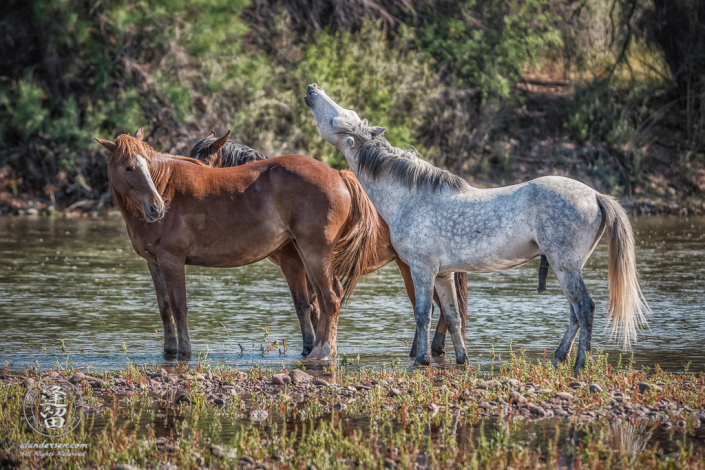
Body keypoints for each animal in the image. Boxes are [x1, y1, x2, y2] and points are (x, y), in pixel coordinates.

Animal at [95, 129, 380, 360]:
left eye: (145, 164)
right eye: (128, 167)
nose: (156, 207)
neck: (167, 186)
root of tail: (338, 174)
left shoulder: (171, 260)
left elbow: (179, 307)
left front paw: (184, 351)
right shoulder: (153, 263)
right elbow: (165, 309)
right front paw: (168, 350)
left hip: (315, 252)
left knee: (330, 296)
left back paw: (325, 352)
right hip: (307, 254)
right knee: (321, 298)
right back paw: (319, 349)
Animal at [187, 129, 468, 356]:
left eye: (203, 162)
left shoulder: (293, 264)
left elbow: (304, 305)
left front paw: (309, 346)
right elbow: (316, 306)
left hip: (411, 268)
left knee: (432, 308)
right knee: (443, 309)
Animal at [306, 84, 652, 370]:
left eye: (338, 118)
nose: (312, 88)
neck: (410, 197)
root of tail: (594, 195)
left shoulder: (422, 269)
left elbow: (423, 315)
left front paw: (420, 360)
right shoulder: (444, 275)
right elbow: (453, 317)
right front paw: (462, 359)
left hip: (565, 266)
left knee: (584, 309)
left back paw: (580, 362)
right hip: (566, 267)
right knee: (574, 313)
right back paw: (559, 358)